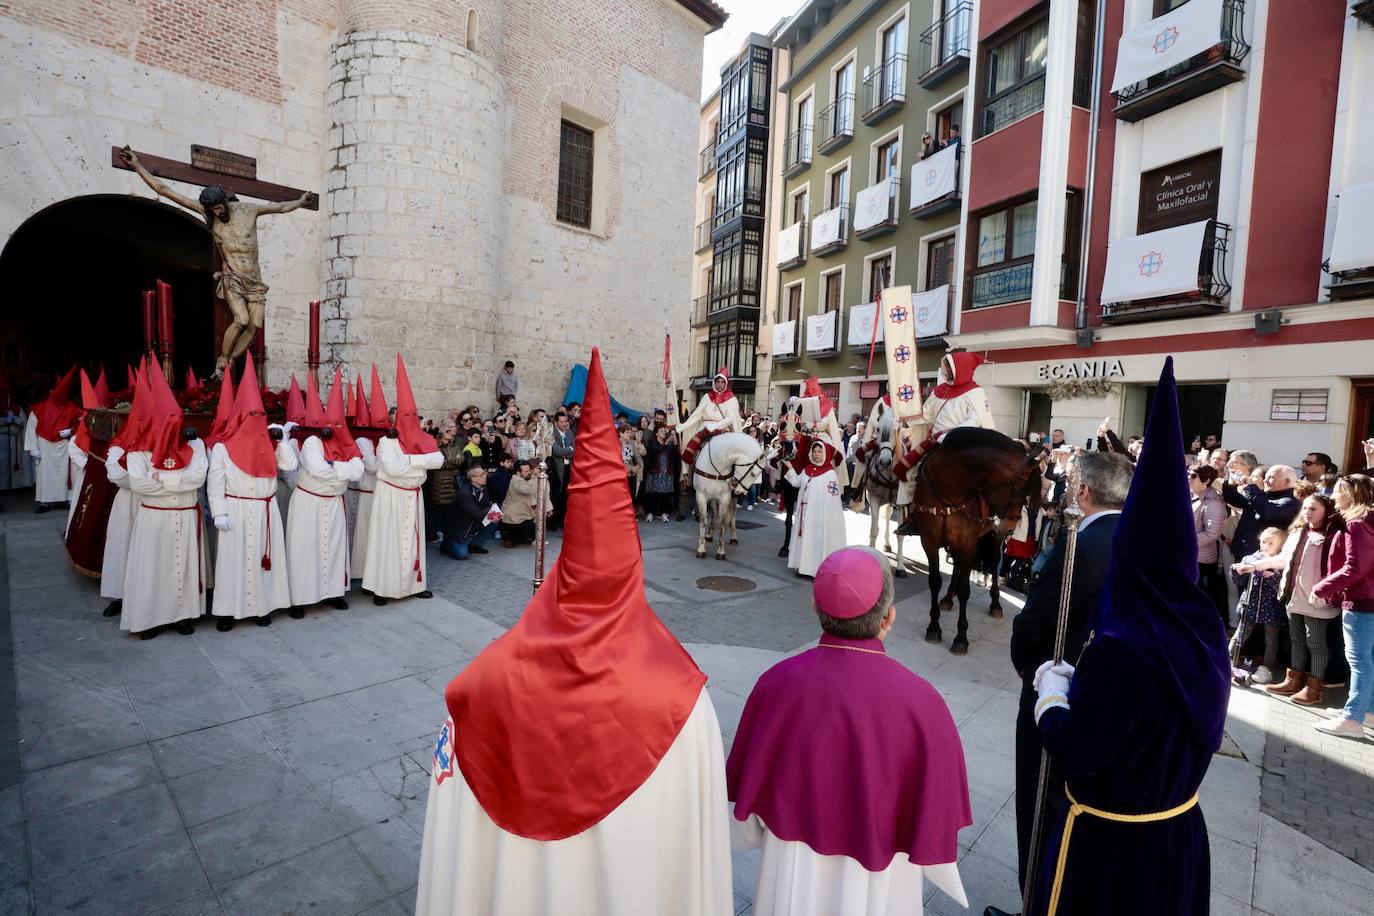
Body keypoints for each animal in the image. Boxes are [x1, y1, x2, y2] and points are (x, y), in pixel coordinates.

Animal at [692, 433, 769, 563]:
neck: (716, 464)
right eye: (753, 474)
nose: (739, 493)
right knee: (715, 511)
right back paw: (710, 534)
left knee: (732, 514)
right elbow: (703, 521)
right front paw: (701, 549)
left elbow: (722, 523)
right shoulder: (701, 495)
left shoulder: (725, 497)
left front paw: (721, 551)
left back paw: (733, 537)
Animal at [895, 428, 1033, 650]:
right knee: (957, 566)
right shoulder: (929, 542)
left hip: (992, 540)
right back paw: (948, 598)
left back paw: (995, 604)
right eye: (1018, 489)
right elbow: (935, 581)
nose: (1010, 526)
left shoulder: (968, 543)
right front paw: (934, 627)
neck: (949, 489)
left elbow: (965, 589)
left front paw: (960, 637)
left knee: (994, 562)